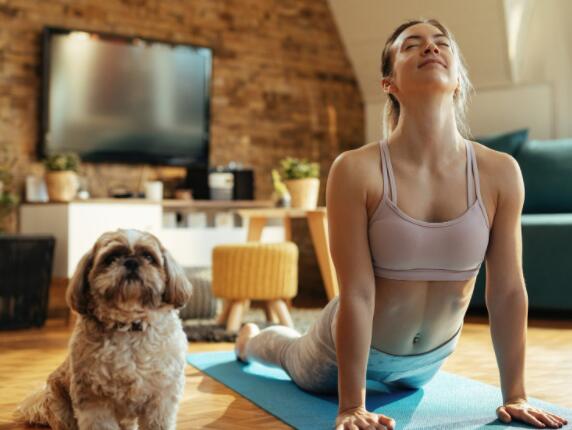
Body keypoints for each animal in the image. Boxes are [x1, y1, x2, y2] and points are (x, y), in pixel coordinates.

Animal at [14, 230, 193, 428]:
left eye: (148, 256)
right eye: (111, 258)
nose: (131, 261)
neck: (129, 325)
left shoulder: (161, 399)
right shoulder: (94, 400)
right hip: (60, 408)